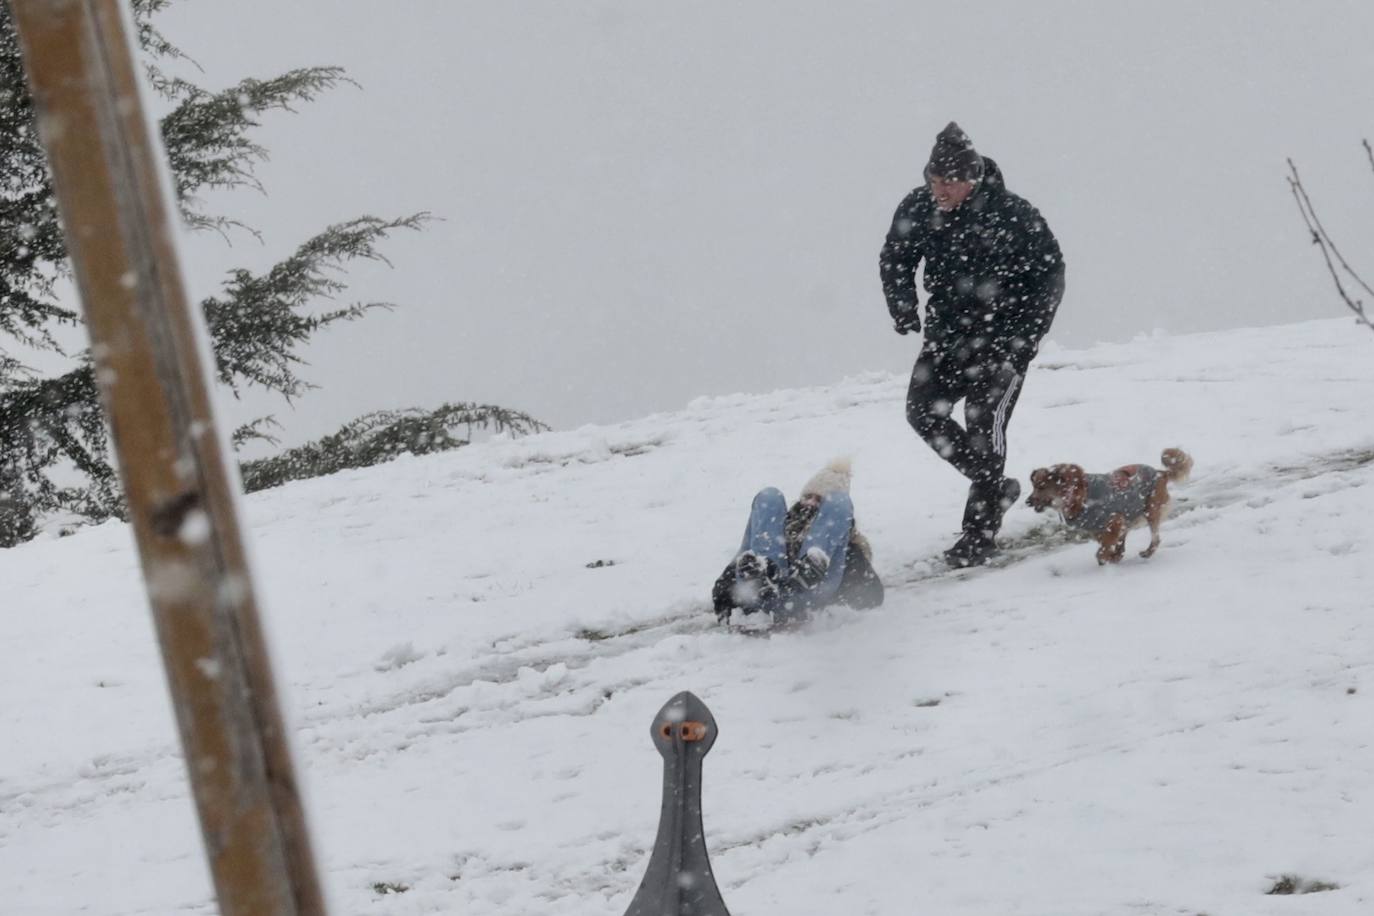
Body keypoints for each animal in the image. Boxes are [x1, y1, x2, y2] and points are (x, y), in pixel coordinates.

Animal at [1033, 450, 1192, 565]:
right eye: (1034, 486)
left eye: (1041, 487)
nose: (1029, 501)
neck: (1079, 496)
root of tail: (1161, 473)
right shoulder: (1102, 529)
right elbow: (1108, 545)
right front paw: (1111, 556)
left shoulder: (1114, 521)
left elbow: (1104, 549)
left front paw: (1105, 557)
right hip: (1130, 513)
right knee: (1124, 543)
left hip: (1151, 510)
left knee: (1155, 538)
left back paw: (1146, 552)